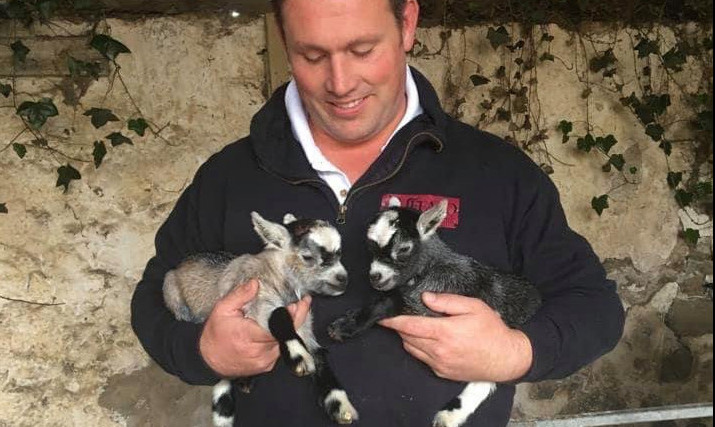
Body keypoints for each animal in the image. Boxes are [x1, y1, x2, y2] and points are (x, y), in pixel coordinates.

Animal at [163, 212, 359, 426]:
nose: (343, 279)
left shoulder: (304, 326)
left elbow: (319, 355)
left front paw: (339, 403)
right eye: (307, 257)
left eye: (339, 253)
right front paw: (298, 355)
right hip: (173, 295)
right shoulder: (256, 303)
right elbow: (279, 314)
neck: (278, 277)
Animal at [327, 200, 541, 427]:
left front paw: (345, 325)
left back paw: (450, 416)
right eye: (370, 247)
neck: (430, 268)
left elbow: (390, 301)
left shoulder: (437, 301)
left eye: (403, 249)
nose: (375, 276)